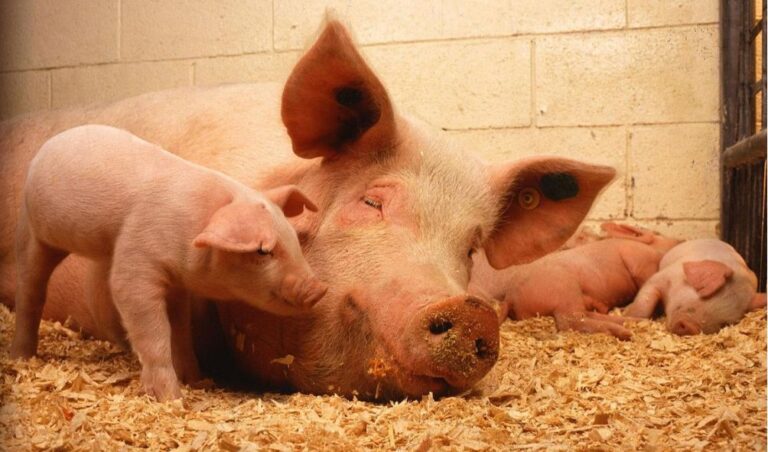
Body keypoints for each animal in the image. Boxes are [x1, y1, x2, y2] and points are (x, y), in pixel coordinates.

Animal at [10, 124, 327, 401]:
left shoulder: (177, 284)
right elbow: (152, 328)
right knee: (30, 288)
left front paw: (196, 381)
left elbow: (181, 330)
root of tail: (49, 145)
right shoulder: (136, 259)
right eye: (262, 251)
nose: (319, 289)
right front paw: (171, 398)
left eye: (293, 238)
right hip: (35, 233)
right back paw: (22, 357)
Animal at [469, 223, 681, 339]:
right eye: (660, 234)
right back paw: (625, 333)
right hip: (565, 290)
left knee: (585, 315)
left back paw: (628, 323)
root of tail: (510, 298)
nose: (680, 240)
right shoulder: (638, 258)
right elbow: (643, 277)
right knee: (569, 321)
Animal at [623, 239, 767, 335]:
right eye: (704, 296)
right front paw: (629, 315)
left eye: (724, 323)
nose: (691, 328)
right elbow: (646, 302)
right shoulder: (662, 276)